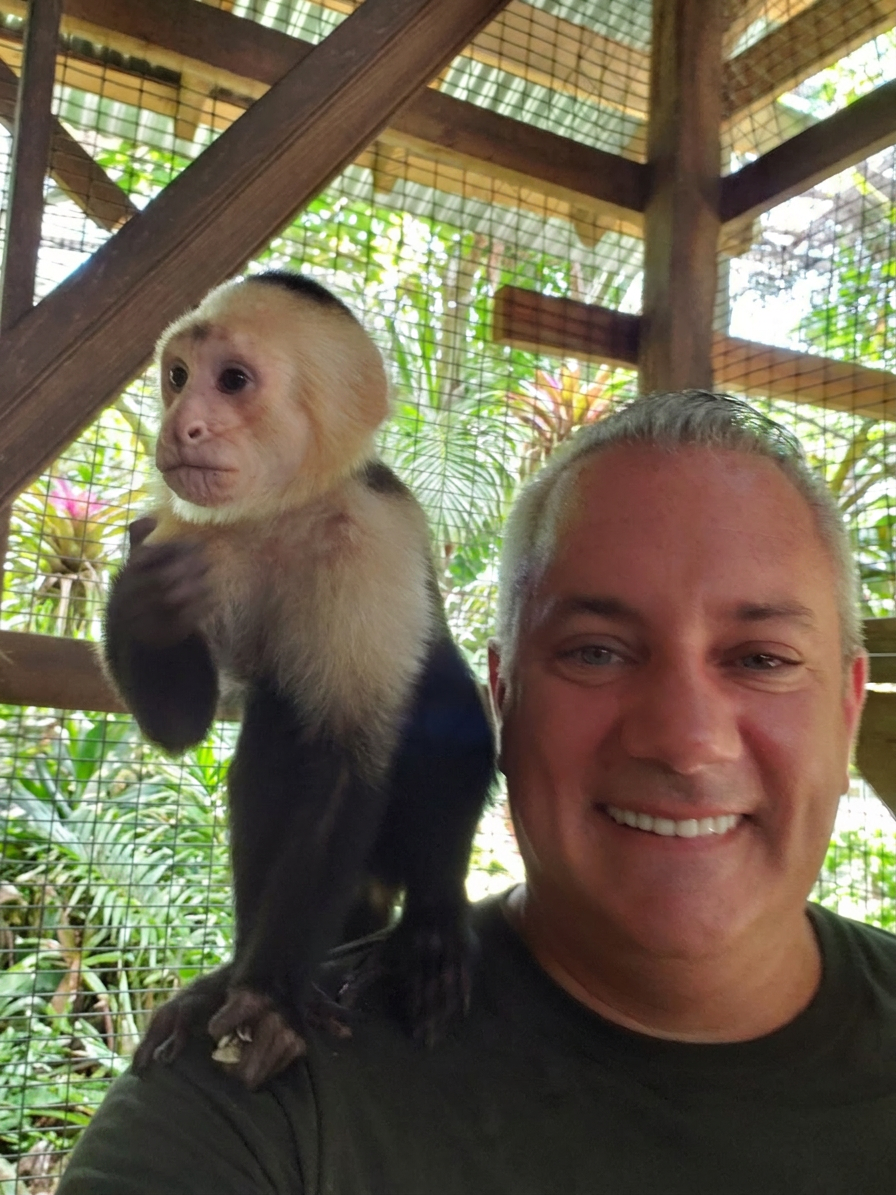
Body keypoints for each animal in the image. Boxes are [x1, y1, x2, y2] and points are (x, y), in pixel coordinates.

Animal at [103, 271, 495, 1089]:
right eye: (177, 376)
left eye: (232, 381)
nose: (182, 426)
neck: (283, 510)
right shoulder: (192, 530)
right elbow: (184, 725)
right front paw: (146, 603)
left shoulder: (371, 537)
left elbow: (347, 759)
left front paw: (267, 1000)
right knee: (276, 728)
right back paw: (227, 978)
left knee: (440, 709)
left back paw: (431, 926)